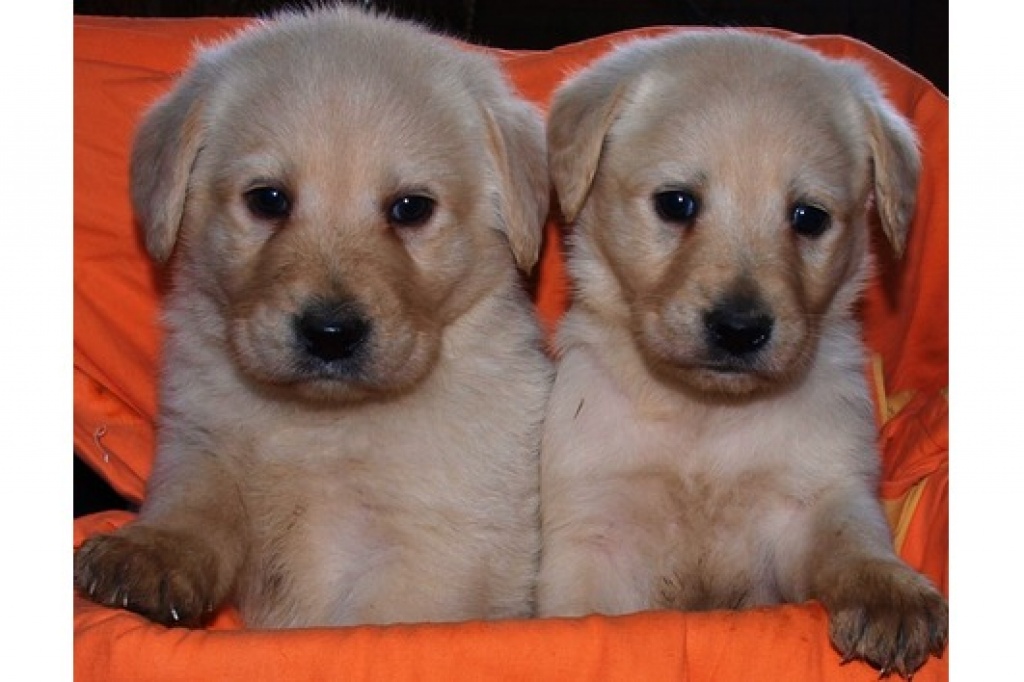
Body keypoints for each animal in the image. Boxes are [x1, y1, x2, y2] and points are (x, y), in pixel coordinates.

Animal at [74, 6, 552, 626]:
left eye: (411, 208)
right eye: (268, 200)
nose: (330, 334)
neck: (321, 425)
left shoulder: (434, 551)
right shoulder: (199, 444)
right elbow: (195, 506)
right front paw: (151, 553)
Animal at [540, 30, 946, 675]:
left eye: (809, 217)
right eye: (677, 203)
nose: (739, 329)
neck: (704, 418)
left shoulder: (812, 498)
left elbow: (851, 540)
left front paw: (891, 594)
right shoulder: (594, 528)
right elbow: (579, 615)